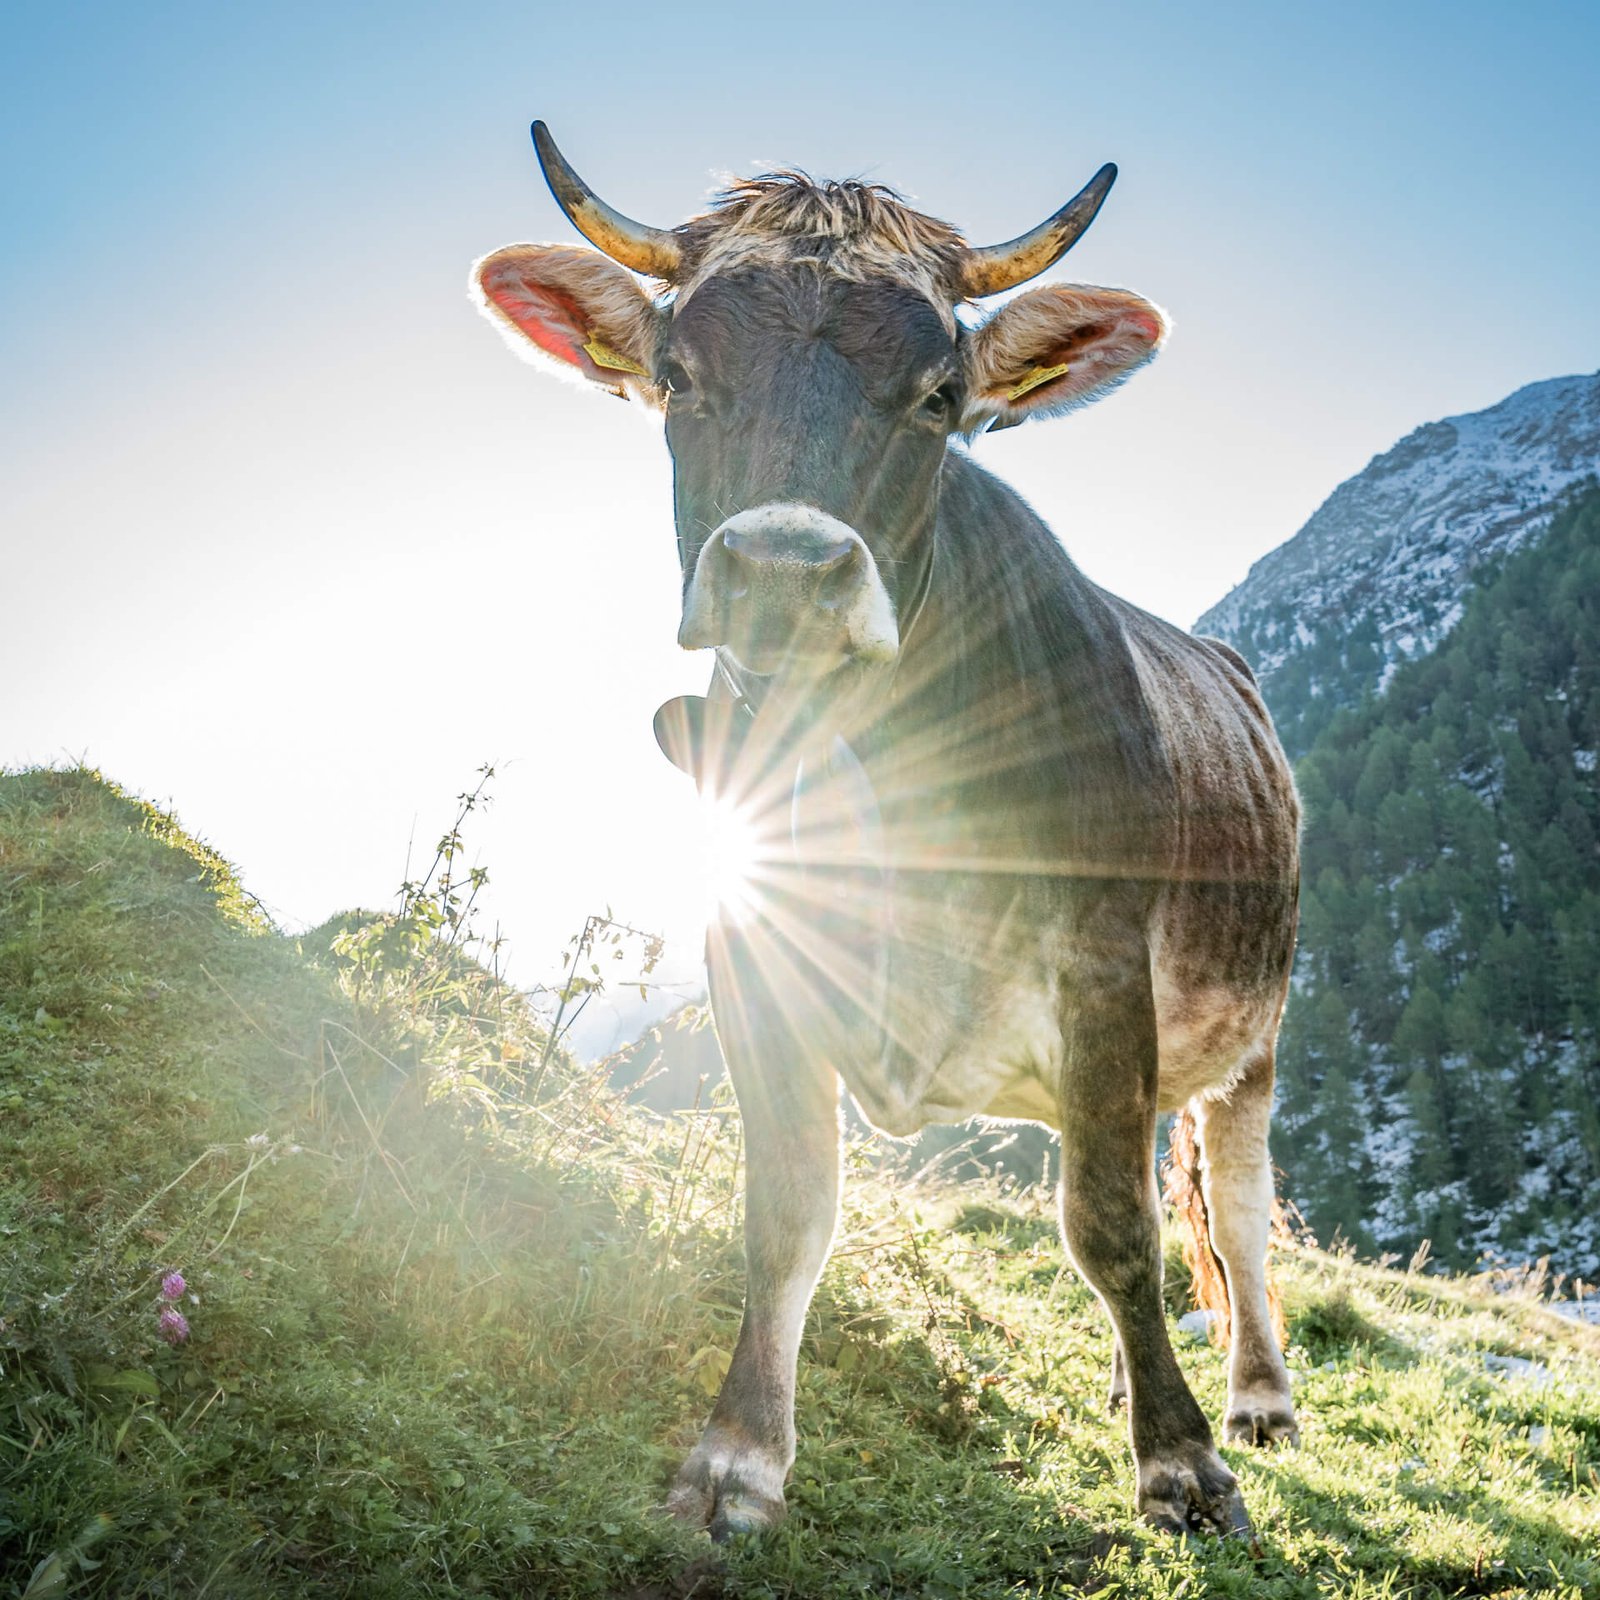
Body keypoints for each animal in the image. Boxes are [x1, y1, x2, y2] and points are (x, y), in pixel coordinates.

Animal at [472, 122, 1301, 1541]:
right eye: (679, 377)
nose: (785, 571)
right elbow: (789, 1207)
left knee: (1232, 1213)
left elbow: (1113, 1226)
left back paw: (1254, 1397)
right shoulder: (749, 942)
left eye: (935, 395)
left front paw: (1182, 1461)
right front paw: (738, 1456)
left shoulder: (1101, 964)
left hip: (1252, 1031)